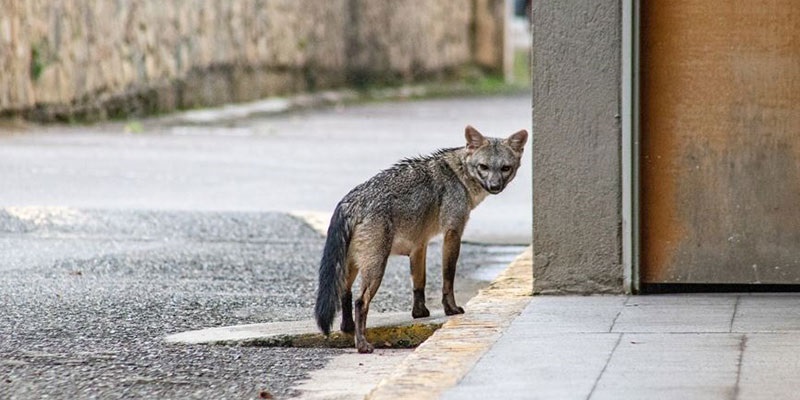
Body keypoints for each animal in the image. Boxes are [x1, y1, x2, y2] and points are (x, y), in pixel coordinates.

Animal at [316, 125, 528, 354]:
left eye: (505, 168)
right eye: (484, 167)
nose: (495, 186)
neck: (458, 174)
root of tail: (349, 202)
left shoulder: (419, 245)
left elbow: (419, 283)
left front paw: (419, 313)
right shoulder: (453, 233)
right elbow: (448, 277)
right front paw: (451, 309)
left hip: (354, 265)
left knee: (344, 294)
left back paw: (348, 328)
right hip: (376, 267)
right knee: (359, 302)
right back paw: (362, 344)